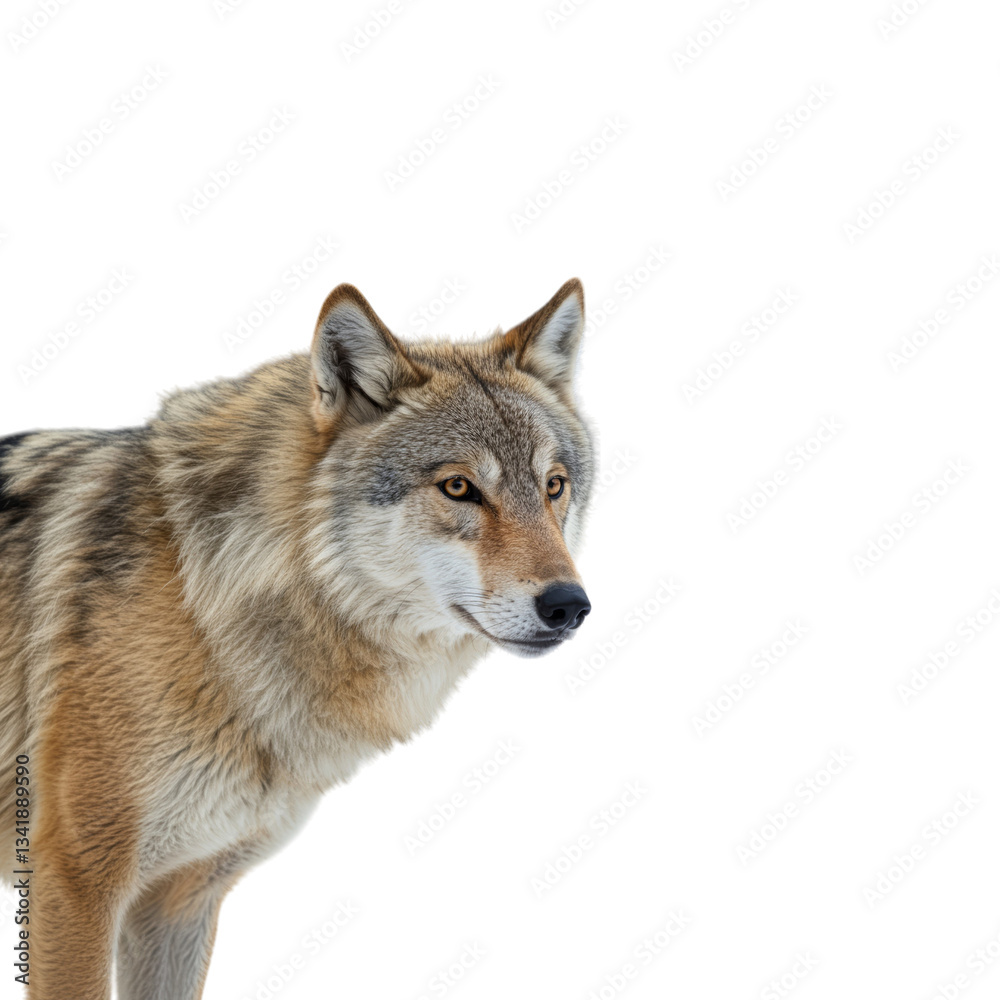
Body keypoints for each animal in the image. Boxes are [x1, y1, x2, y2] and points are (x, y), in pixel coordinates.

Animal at [0, 278, 594, 999]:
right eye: (459, 487)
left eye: (554, 487)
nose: (569, 606)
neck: (204, 599)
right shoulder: (77, 884)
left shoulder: (180, 898)